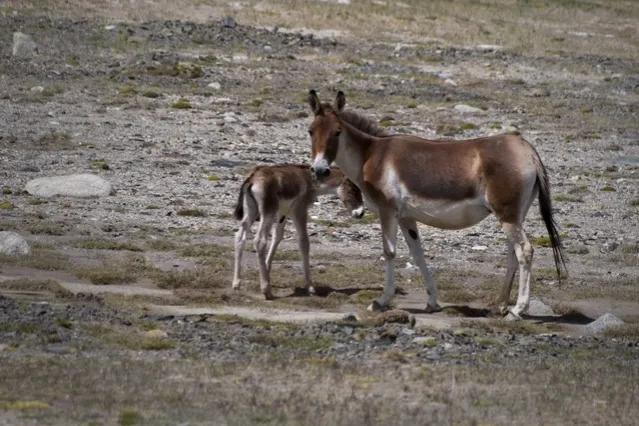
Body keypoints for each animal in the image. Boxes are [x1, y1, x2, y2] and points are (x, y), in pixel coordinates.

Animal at [232, 163, 362, 300]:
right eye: (353, 188)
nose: (360, 213)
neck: (309, 179)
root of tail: (252, 178)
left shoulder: (283, 213)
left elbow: (277, 237)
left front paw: (266, 269)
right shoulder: (299, 211)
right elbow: (304, 242)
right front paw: (310, 287)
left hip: (251, 212)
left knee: (239, 237)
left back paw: (236, 284)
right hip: (267, 213)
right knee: (260, 241)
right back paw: (266, 291)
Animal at [308, 89, 568, 316]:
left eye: (337, 131)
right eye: (311, 131)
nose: (319, 170)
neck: (371, 155)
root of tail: (527, 150)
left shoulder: (387, 211)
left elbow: (389, 252)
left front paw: (381, 302)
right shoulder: (406, 217)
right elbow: (417, 254)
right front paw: (432, 302)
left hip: (507, 215)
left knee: (525, 250)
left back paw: (518, 310)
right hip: (515, 215)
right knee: (513, 252)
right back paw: (501, 306)